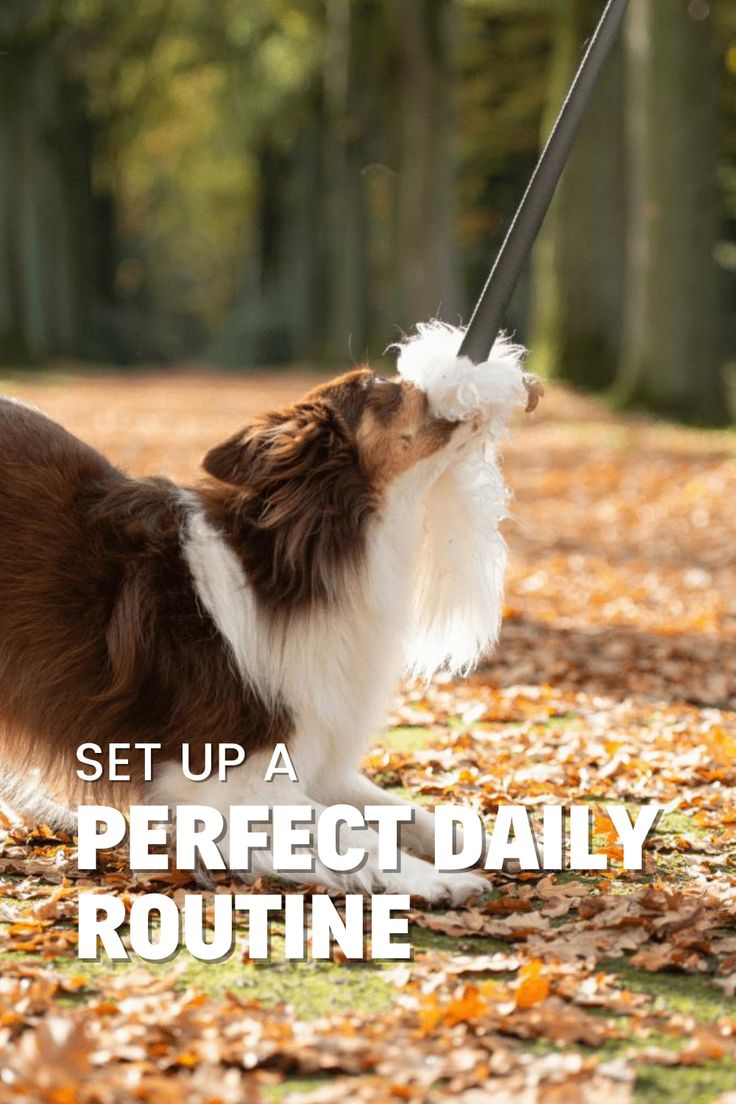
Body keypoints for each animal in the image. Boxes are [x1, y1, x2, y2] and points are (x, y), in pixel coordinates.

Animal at [0, 324, 540, 905]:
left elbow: (409, 813)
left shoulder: (316, 754)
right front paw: (440, 878)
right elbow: (351, 833)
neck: (306, 560)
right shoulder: (222, 779)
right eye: (376, 384)